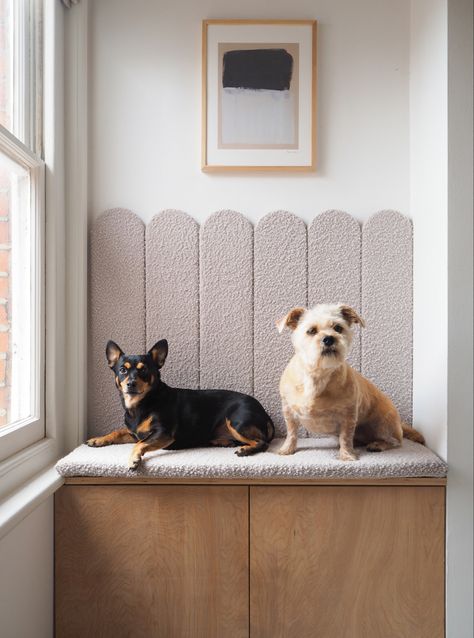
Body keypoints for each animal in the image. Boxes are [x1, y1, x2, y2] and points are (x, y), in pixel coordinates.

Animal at [87, 340, 276, 470]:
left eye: (144, 370)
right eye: (122, 370)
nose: (131, 383)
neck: (141, 404)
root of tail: (264, 413)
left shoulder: (163, 434)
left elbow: (139, 444)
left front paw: (134, 459)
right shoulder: (135, 433)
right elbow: (117, 432)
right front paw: (98, 439)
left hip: (236, 421)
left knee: (262, 442)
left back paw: (245, 450)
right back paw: (223, 441)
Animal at [276, 304, 424, 460]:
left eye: (338, 328)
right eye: (311, 331)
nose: (329, 339)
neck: (318, 374)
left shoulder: (348, 415)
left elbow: (346, 437)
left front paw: (347, 455)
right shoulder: (288, 410)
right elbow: (291, 433)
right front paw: (287, 449)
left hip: (384, 425)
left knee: (395, 441)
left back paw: (378, 444)